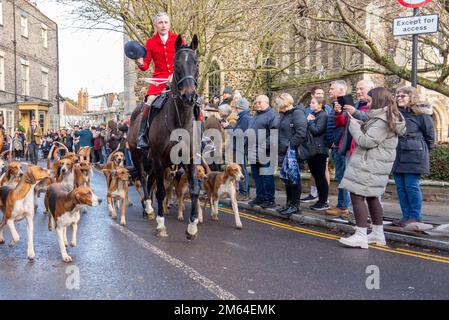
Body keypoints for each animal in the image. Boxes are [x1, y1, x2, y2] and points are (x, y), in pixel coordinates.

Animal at [129, 35, 200, 240]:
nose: (189, 96)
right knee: (144, 178)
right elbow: (160, 192)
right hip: (138, 156)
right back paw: (149, 208)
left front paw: (192, 227)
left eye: (197, 63)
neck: (180, 121)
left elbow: (194, 190)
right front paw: (161, 224)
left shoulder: (189, 159)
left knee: (150, 180)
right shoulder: (160, 159)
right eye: (176, 65)